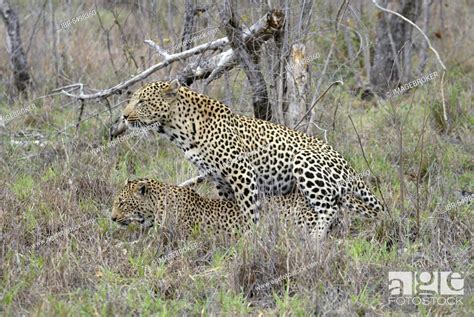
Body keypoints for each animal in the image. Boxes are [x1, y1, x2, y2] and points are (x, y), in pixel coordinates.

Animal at [112, 79, 386, 237]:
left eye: (142, 101)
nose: (124, 116)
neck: (177, 128)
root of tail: (349, 167)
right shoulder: (220, 179)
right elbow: (229, 206)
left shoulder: (241, 172)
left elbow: (248, 209)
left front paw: (251, 236)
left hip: (304, 162)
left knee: (329, 207)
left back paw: (315, 237)